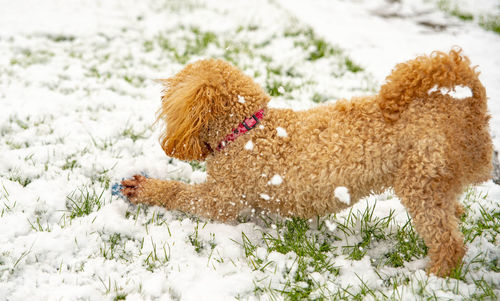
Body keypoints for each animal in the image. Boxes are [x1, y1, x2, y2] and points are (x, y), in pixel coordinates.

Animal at [122, 49, 492, 276]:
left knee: (449, 243)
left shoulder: (222, 200)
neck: (247, 130)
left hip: (421, 182)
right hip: (439, 183)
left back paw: (430, 278)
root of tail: (471, 109)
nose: (161, 91)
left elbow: (178, 193)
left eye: (171, 93)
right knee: (454, 214)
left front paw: (142, 188)